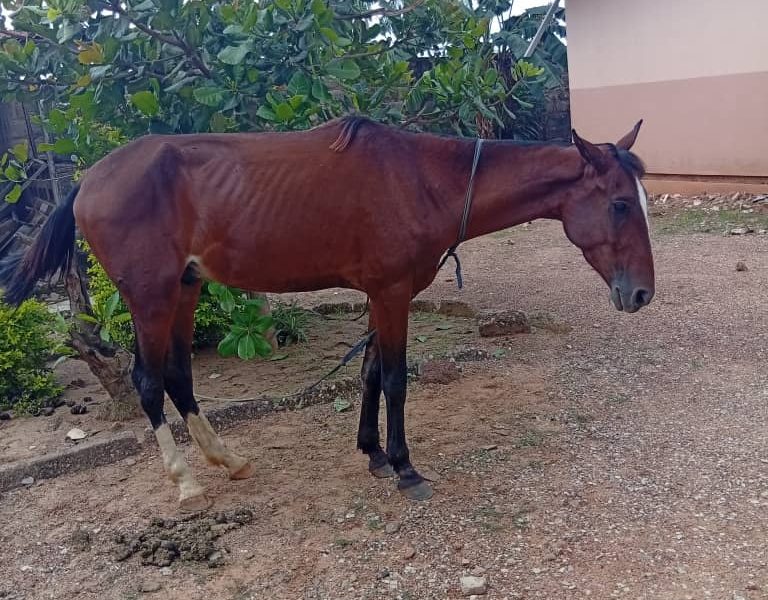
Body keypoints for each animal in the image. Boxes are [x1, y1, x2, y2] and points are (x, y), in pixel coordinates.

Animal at [0, 116, 654, 510]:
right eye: (621, 204)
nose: (642, 295)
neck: (424, 180)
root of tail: (89, 179)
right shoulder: (392, 293)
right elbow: (394, 378)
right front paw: (405, 467)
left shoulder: (377, 294)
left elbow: (368, 372)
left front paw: (373, 455)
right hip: (151, 296)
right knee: (147, 381)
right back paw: (185, 481)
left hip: (185, 289)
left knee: (179, 377)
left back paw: (227, 459)